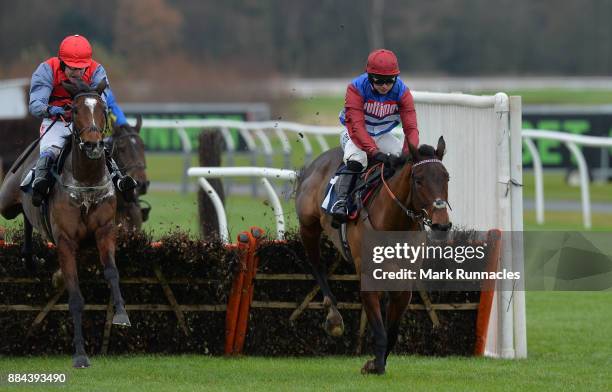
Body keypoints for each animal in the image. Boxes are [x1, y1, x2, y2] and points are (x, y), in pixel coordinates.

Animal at [0, 79, 130, 368]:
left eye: (103, 108)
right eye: (74, 109)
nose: (93, 145)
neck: (85, 181)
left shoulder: (105, 231)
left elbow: (113, 273)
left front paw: (121, 315)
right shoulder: (66, 241)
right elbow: (75, 297)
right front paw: (80, 354)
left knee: (28, 218)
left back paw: (29, 258)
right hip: (6, 201)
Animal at [294, 138, 452, 374]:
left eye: (446, 177)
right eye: (419, 180)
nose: (442, 225)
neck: (394, 225)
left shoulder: (403, 284)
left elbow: (392, 332)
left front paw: (376, 361)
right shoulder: (368, 277)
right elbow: (380, 330)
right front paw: (375, 365)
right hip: (308, 226)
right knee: (316, 264)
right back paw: (333, 316)